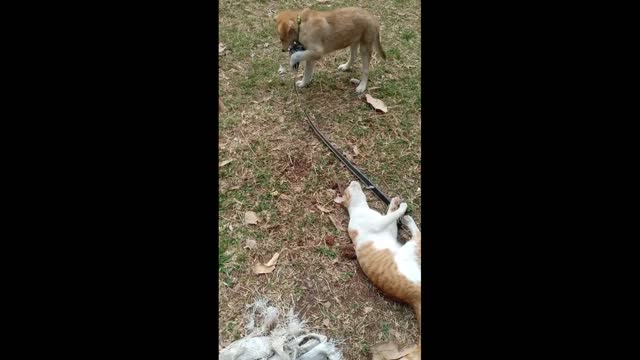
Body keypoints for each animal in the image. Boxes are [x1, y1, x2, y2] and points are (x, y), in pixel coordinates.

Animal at [336, 181, 420, 358]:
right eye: (347, 188)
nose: (353, 181)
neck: (361, 208)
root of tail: (414, 298)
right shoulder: (379, 223)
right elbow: (392, 216)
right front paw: (401, 207)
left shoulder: (389, 228)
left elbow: (390, 214)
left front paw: (394, 203)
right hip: (410, 249)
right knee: (418, 236)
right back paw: (408, 219)